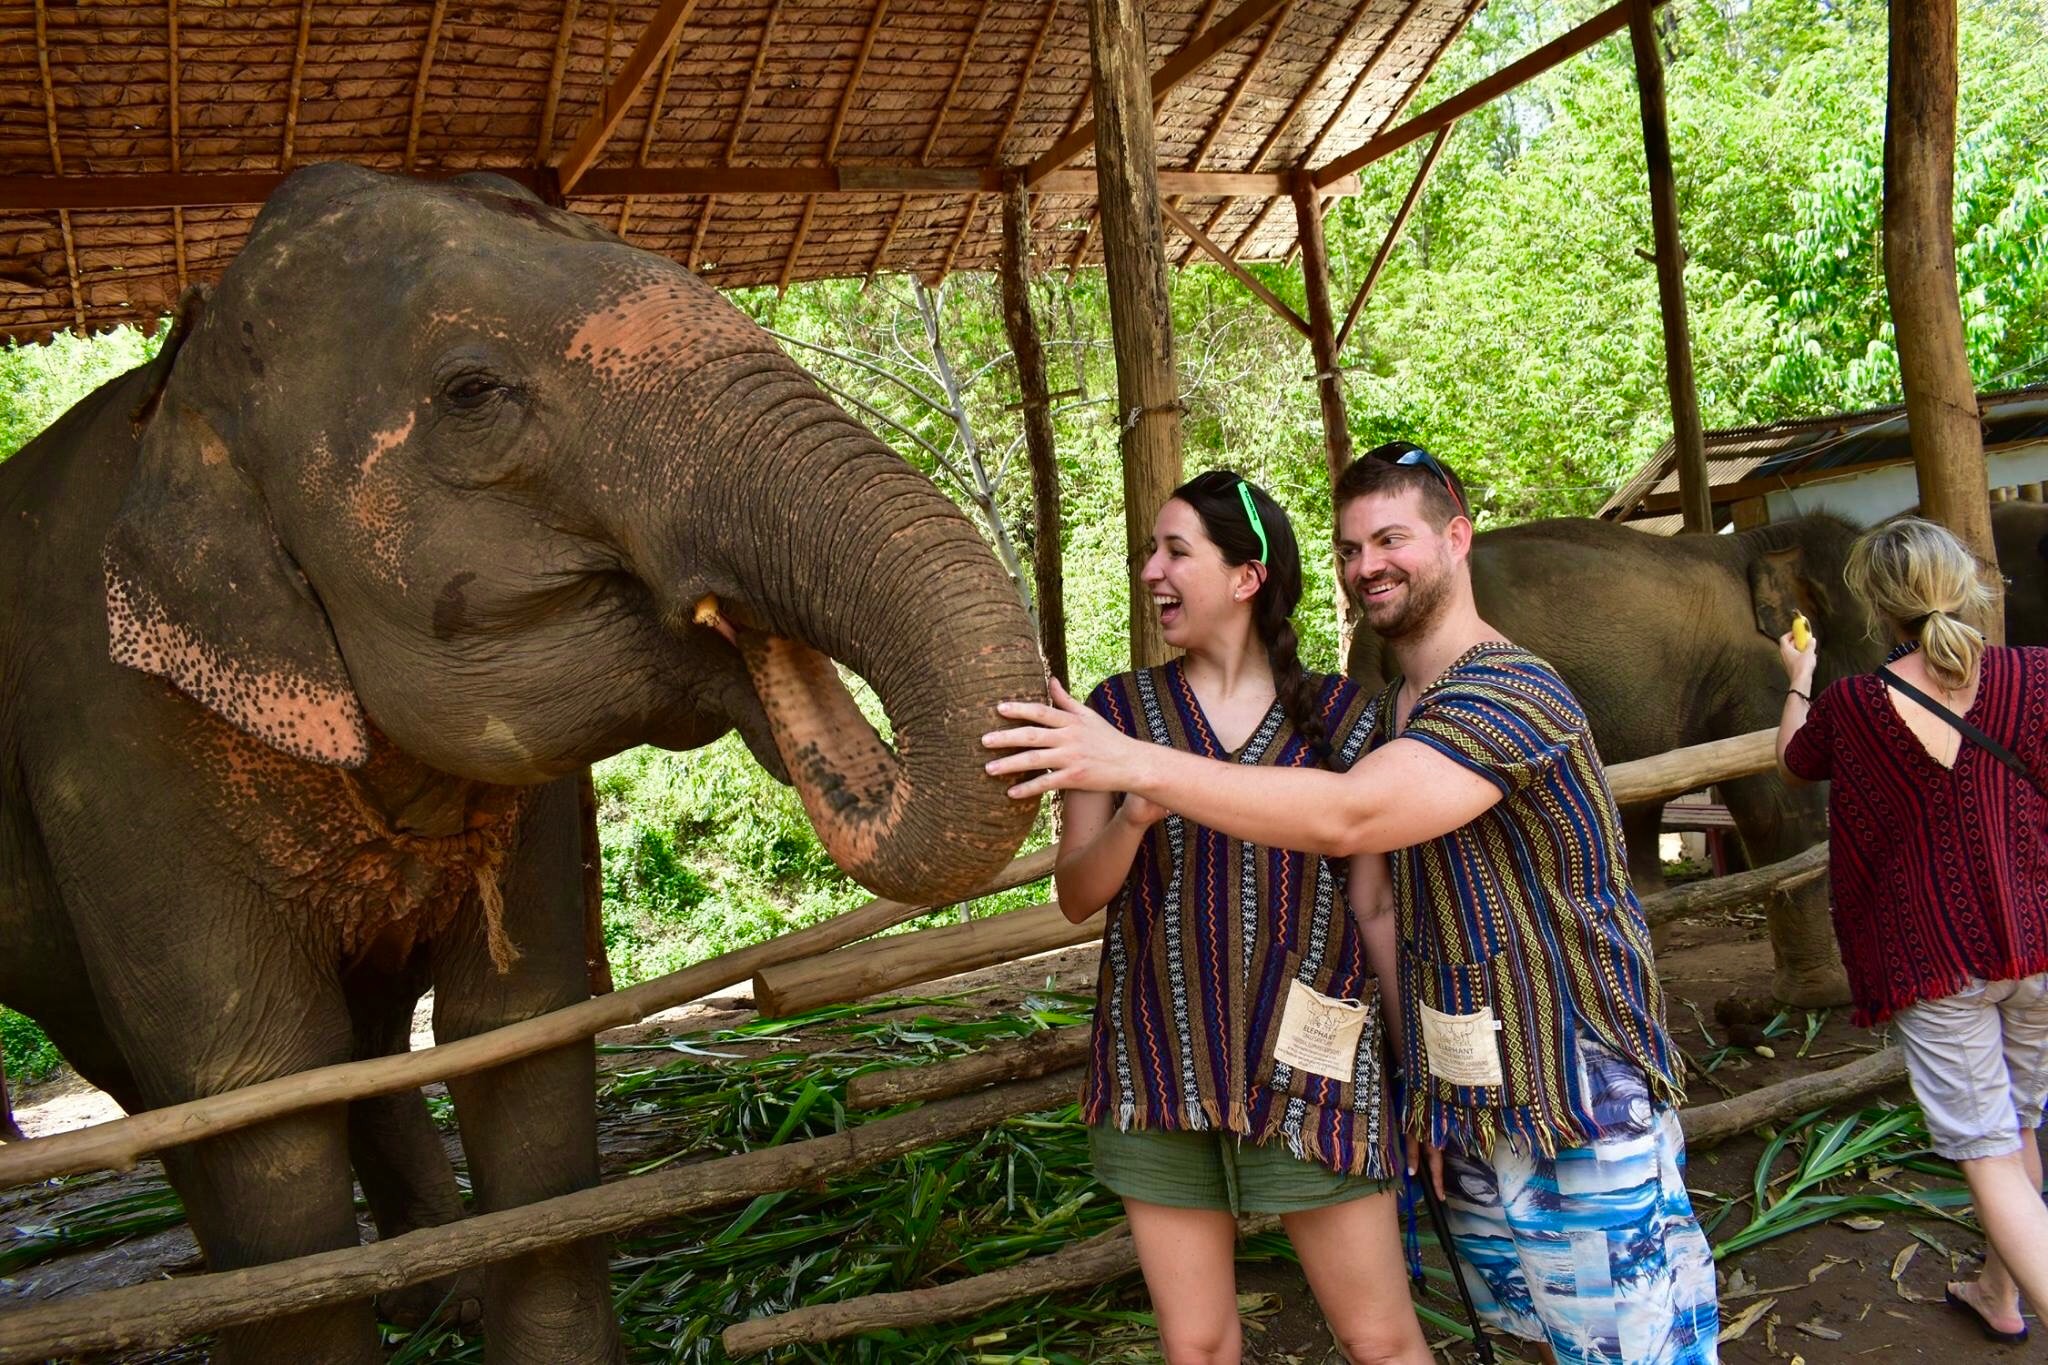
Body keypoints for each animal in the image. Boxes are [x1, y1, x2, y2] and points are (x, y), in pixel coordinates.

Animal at [0, 164, 1039, 1362]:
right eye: (472, 392)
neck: (181, 390)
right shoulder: (108, 741)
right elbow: (258, 1090)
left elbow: (517, 1034)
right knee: (167, 1090)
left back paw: (432, 1297)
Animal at [1348, 513, 1882, 1007]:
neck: (1761, 543)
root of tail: (1370, 635)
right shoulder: (1751, 671)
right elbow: (1778, 799)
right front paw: (1823, 997)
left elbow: (1639, 807)